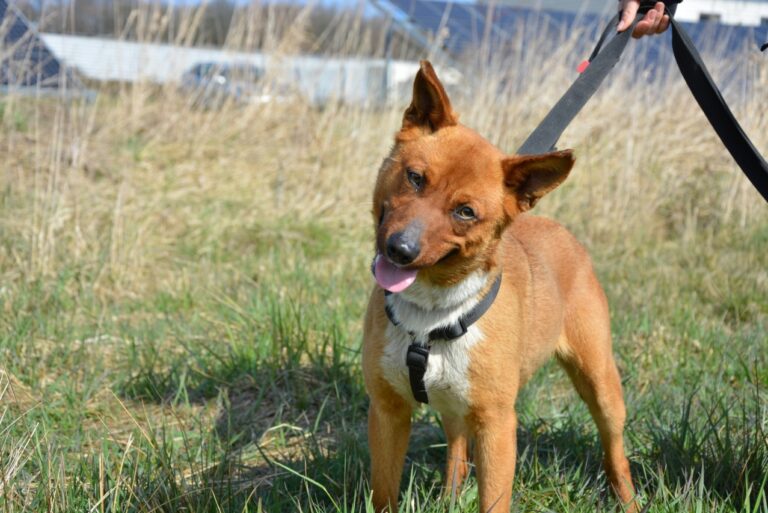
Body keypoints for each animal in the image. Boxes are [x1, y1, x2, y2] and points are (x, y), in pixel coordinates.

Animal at [362, 61, 636, 512]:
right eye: (415, 178)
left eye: (465, 212)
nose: (400, 249)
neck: (432, 313)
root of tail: (557, 227)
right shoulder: (387, 412)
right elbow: (384, 493)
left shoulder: (497, 425)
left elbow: (493, 498)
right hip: (454, 404)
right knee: (457, 447)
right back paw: (450, 495)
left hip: (601, 383)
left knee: (615, 448)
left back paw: (627, 499)